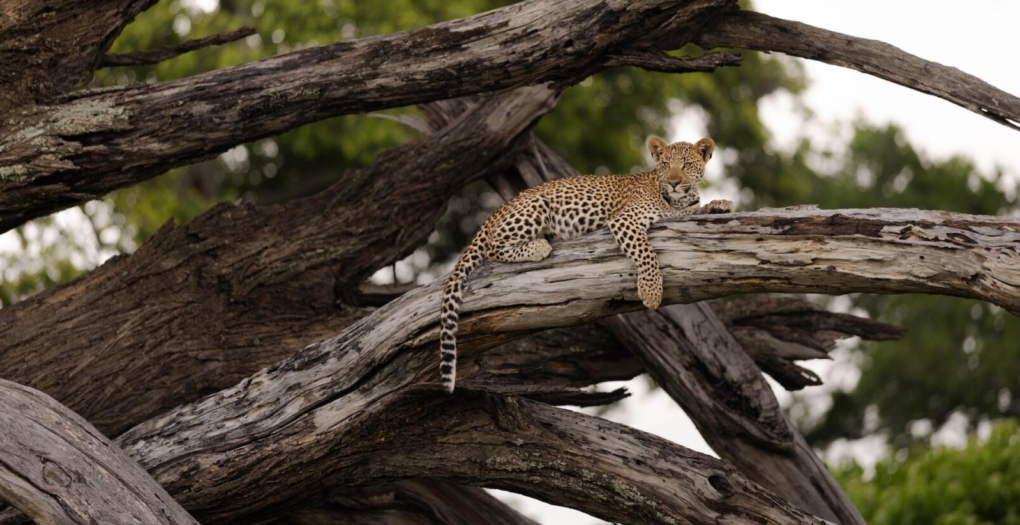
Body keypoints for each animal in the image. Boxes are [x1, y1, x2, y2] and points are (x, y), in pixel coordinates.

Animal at [438, 136, 734, 393]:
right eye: (665, 165)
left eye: (686, 165)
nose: (673, 182)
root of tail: (499, 209)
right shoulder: (625, 220)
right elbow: (646, 253)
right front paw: (651, 292)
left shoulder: (681, 211)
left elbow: (694, 210)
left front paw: (720, 203)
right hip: (535, 207)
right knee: (493, 247)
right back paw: (538, 246)